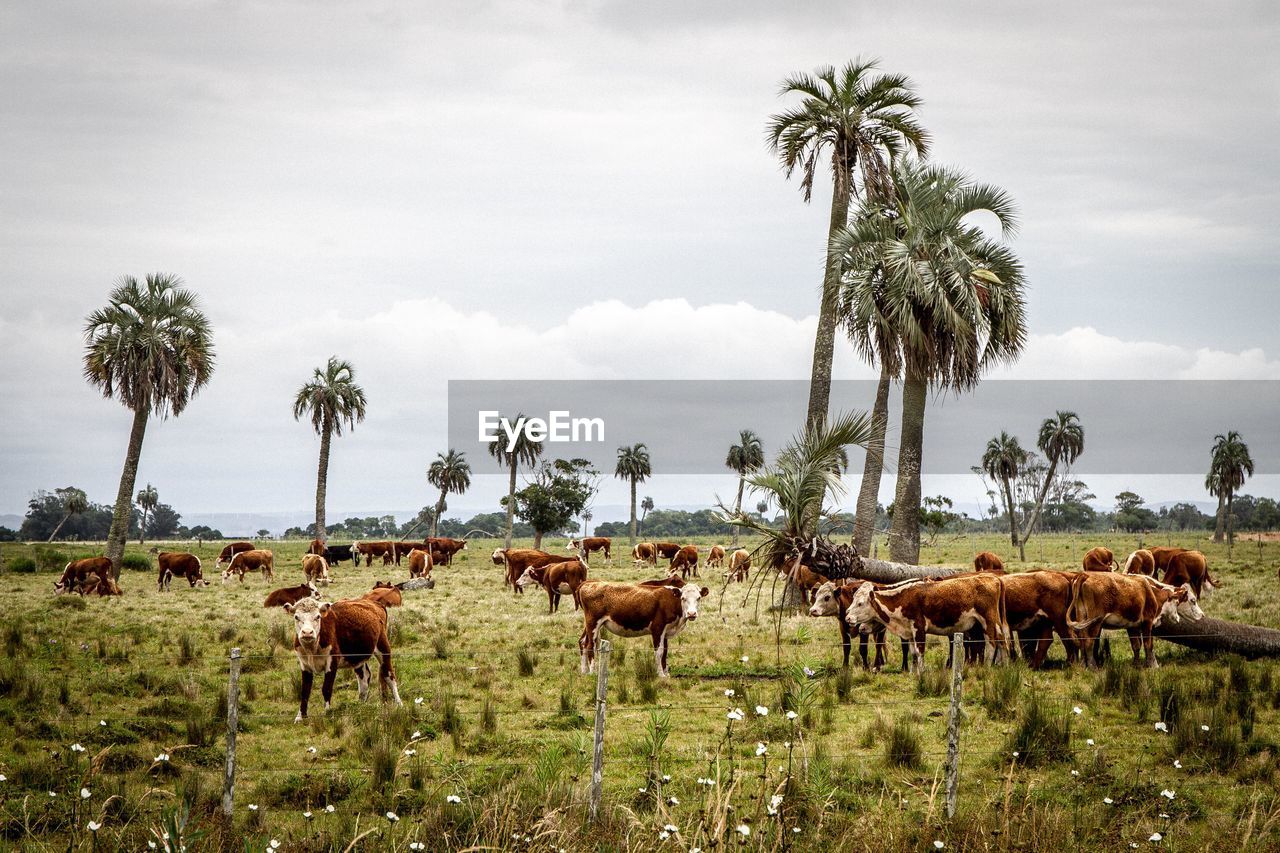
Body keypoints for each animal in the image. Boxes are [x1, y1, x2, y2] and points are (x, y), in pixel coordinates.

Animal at [282, 594, 401, 722]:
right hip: (357, 656)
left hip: (383, 647)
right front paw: (300, 717)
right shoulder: (304, 665)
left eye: (318, 616)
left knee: (389, 676)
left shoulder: (332, 662)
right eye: (296, 617)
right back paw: (360, 705)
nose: (307, 632)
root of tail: (375, 603)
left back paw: (399, 704)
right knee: (364, 678)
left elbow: (326, 688)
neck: (312, 650)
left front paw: (327, 713)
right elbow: (305, 691)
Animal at [578, 578, 711, 676]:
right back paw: (592, 672)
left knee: (583, 642)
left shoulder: (666, 631)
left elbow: (665, 652)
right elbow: (659, 652)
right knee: (590, 645)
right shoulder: (657, 628)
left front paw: (666, 674)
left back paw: (584, 671)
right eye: (683, 598)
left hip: (590, 625)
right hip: (593, 623)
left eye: (698, 598)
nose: (692, 614)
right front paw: (660, 675)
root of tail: (590, 582)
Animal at [844, 571, 1013, 671]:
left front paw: (921, 674)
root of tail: (994, 578)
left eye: (860, 603)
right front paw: (913, 672)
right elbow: (913, 653)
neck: (903, 598)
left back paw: (987, 668)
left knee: (991, 643)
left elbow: (920, 653)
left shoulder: (919, 629)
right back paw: (1005, 666)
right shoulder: (910, 633)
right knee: (1002, 641)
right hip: (996, 623)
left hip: (987, 621)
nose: (847, 617)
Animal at [1070, 568, 1198, 666]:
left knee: (1082, 640)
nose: (1177, 619)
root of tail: (1085, 575)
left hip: (1082, 618)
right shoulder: (1147, 622)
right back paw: (1093, 666)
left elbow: (1136, 645)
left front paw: (1136, 664)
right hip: (1095, 623)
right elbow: (1148, 645)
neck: (1152, 592)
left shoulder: (1132, 626)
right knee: (1089, 642)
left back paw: (1083, 665)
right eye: (1192, 600)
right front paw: (1152, 665)